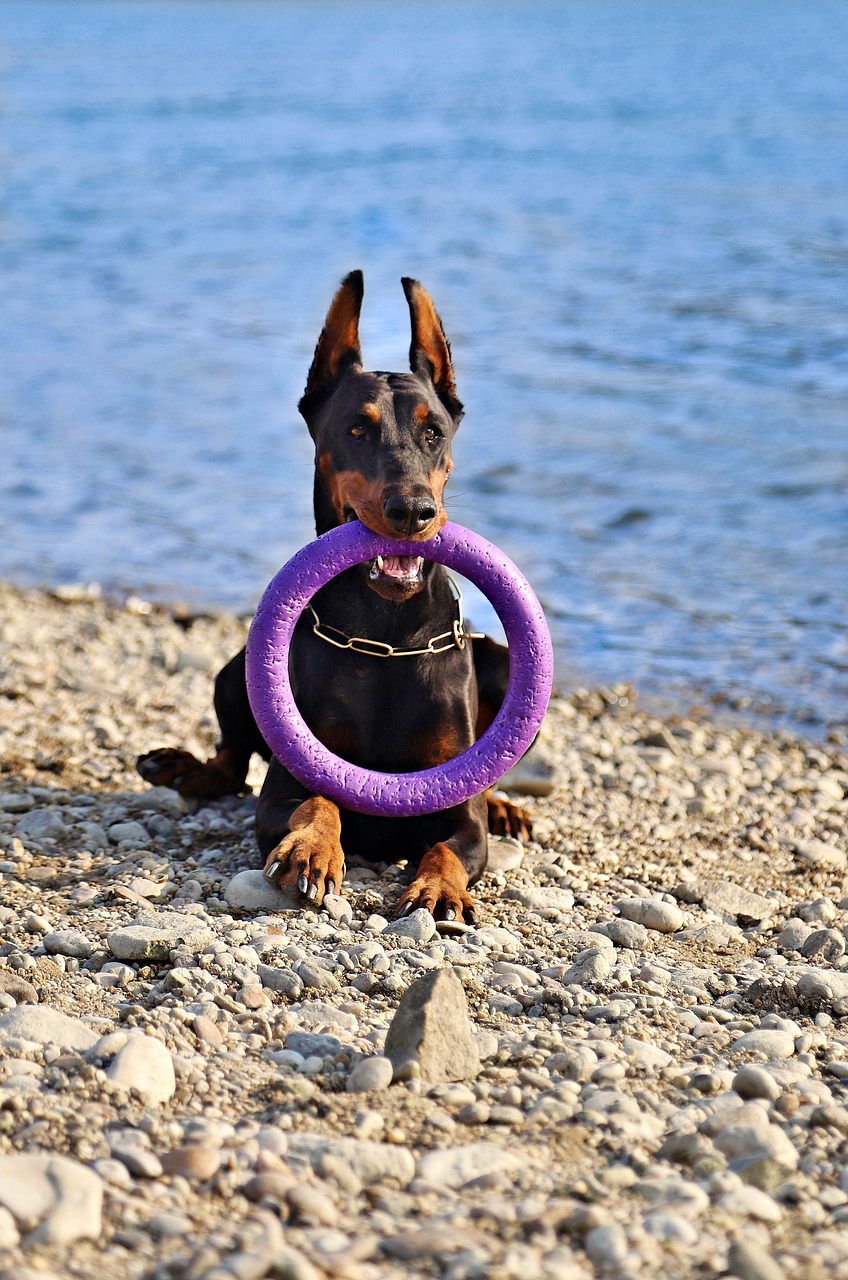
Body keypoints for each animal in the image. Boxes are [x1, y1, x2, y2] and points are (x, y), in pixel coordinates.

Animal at [137, 275, 527, 926]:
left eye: (433, 432)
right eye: (355, 430)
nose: (412, 510)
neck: (386, 634)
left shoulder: (459, 814)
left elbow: (451, 845)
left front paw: (441, 892)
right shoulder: (284, 789)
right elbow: (317, 800)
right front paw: (312, 849)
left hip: (497, 659)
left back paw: (506, 806)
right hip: (235, 670)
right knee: (231, 758)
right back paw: (183, 769)